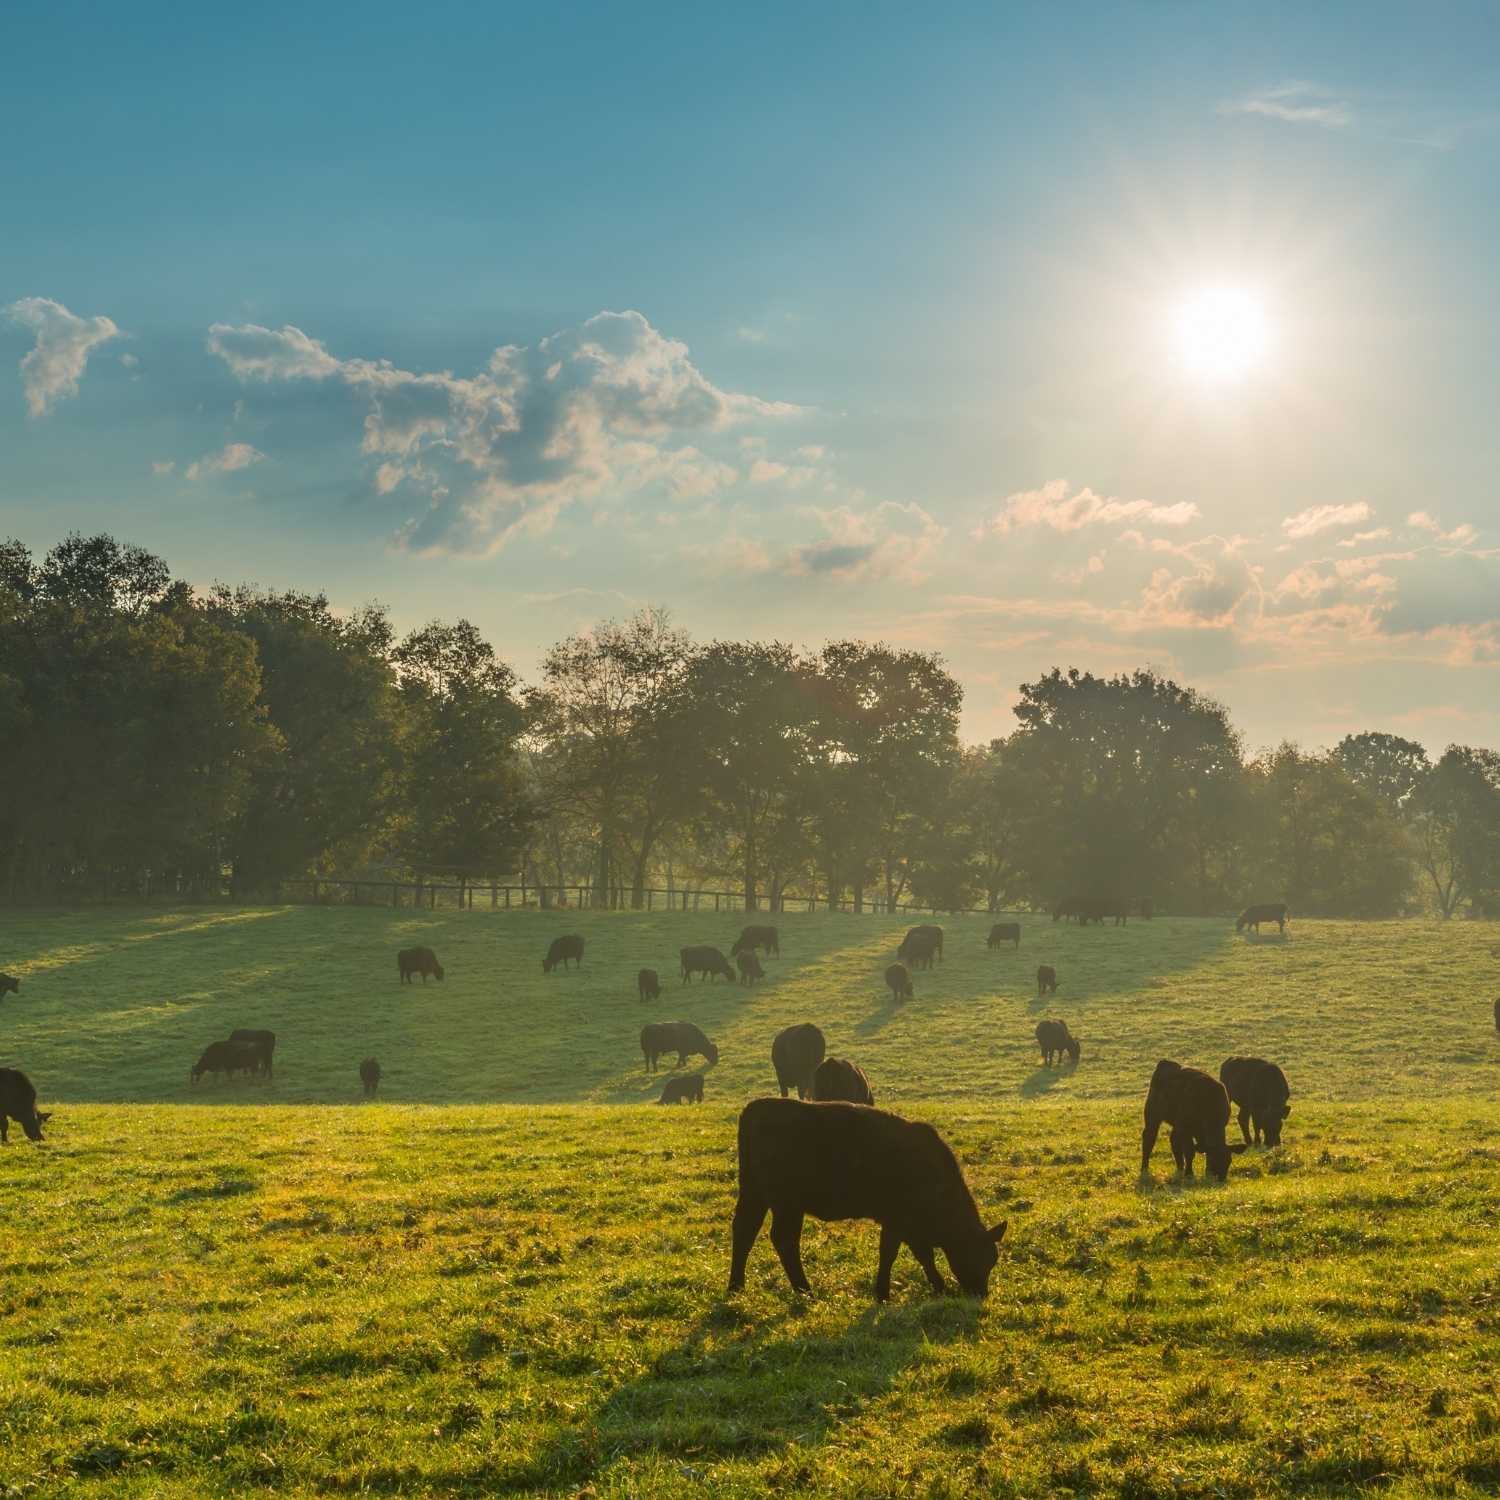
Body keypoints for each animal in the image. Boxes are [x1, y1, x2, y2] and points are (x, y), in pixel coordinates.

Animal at [727, 1097, 1007, 1300]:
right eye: (976, 1255)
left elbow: (920, 1254)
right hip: (787, 1204)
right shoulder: (897, 1220)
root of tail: (756, 1108)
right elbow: (894, 1253)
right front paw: (885, 1293)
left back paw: (736, 1287)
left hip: (754, 1194)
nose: (980, 1294)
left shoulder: (909, 1226)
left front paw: (936, 1287)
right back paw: (805, 1291)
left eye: (993, 1260)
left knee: (744, 1231)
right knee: (784, 1240)